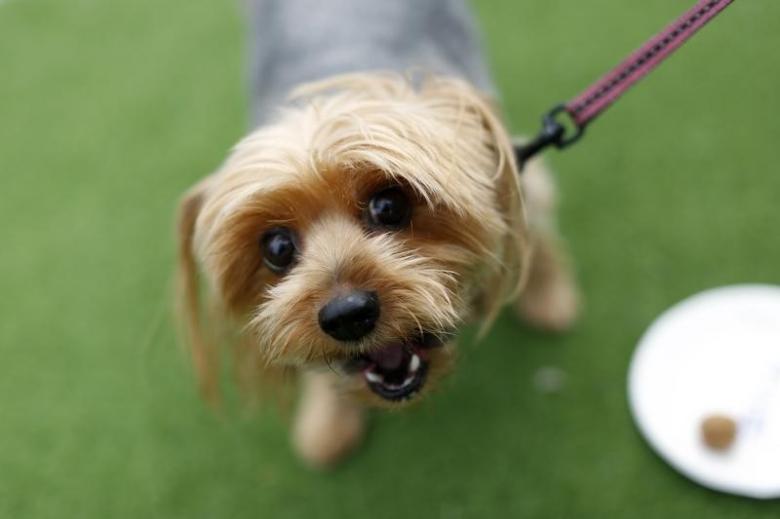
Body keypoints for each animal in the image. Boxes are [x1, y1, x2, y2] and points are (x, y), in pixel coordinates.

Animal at [177, 0, 580, 468]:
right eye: (276, 247)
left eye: (389, 206)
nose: (347, 314)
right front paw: (327, 420)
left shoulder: (506, 163)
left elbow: (535, 224)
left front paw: (548, 293)